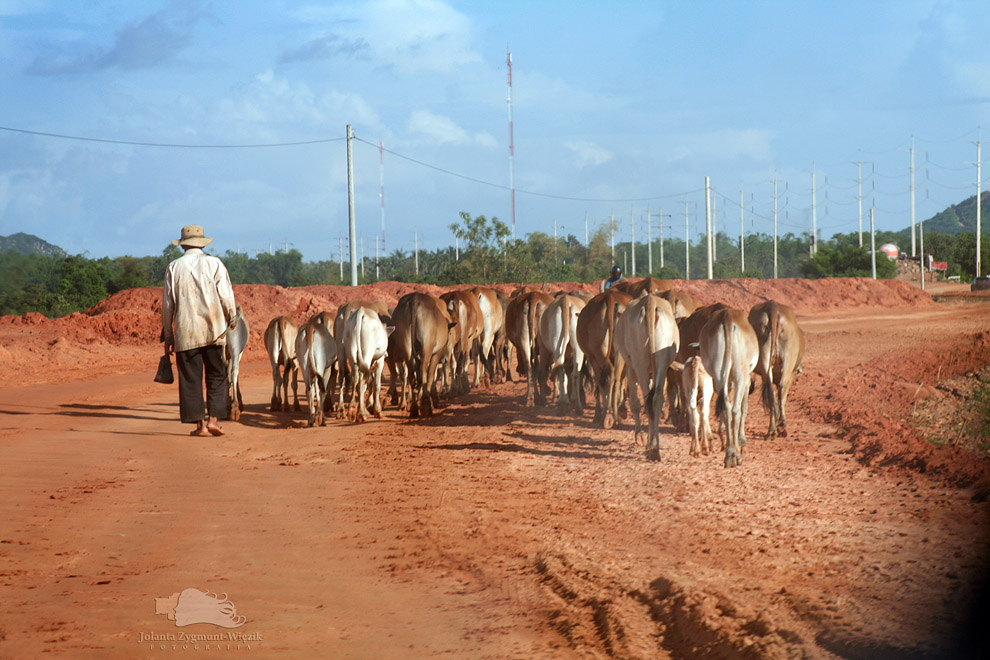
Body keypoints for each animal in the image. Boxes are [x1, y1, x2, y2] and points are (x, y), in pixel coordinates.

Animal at [572, 290, 636, 428]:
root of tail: (610, 297)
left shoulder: (591, 356)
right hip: (618, 353)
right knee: (614, 377)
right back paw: (613, 416)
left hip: (598, 353)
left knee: (607, 377)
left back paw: (606, 415)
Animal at [612, 296, 680, 462]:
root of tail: (650, 302)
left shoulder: (630, 369)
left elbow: (635, 403)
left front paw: (641, 437)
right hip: (661, 360)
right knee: (656, 399)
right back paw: (654, 448)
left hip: (638, 362)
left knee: (645, 400)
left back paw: (650, 447)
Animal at [700, 306, 764, 466]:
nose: (753, 386)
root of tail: (727, 318)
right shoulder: (745, 380)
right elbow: (744, 408)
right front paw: (742, 439)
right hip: (740, 374)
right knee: (735, 410)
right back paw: (735, 455)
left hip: (718, 374)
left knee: (726, 408)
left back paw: (729, 453)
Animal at [752, 300, 808, 438]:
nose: (800, 369)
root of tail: (772, 305)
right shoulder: (791, 374)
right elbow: (782, 398)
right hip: (788, 360)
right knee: (782, 387)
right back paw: (782, 424)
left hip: (765, 360)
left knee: (771, 392)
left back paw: (772, 429)